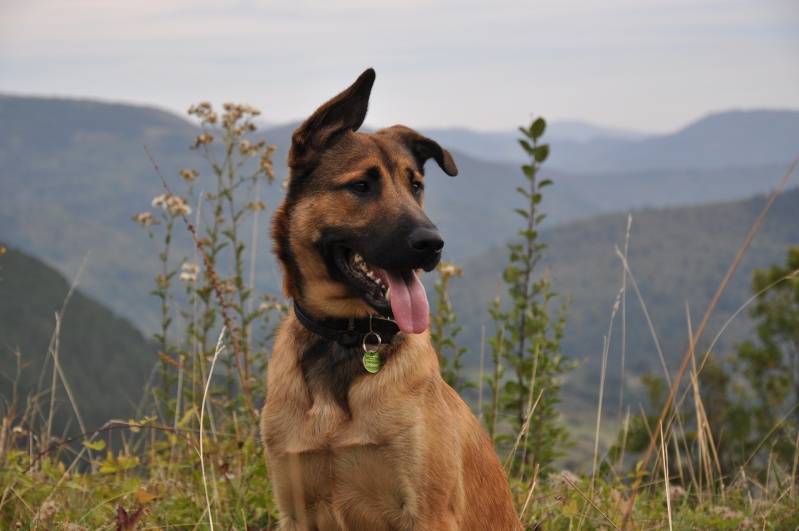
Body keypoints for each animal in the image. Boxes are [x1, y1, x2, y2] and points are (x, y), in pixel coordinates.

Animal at [262, 69, 524, 531]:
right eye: (361, 186)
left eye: (415, 186)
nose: (432, 244)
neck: (349, 339)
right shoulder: (295, 510)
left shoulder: (428, 512)